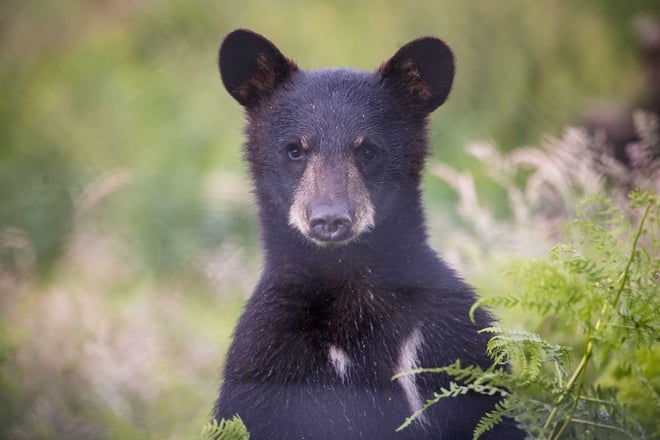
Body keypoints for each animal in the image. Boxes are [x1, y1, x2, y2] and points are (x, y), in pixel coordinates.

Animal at [213, 29, 525, 440]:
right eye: (294, 149)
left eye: (368, 150)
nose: (330, 219)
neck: (349, 284)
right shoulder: (264, 362)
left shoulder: (453, 340)